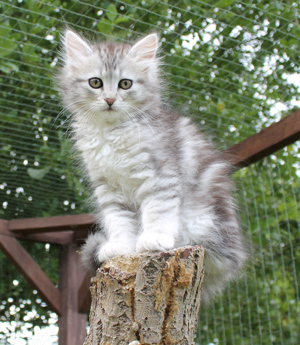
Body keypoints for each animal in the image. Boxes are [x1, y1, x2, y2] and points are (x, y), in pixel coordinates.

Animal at [58, 30, 246, 302]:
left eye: (125, 84)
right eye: (95, 82)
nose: (110, 99)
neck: (112, 132)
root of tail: (235, 256)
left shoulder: (160, 175)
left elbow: (158, 210)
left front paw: (153, 238)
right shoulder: (109, 188)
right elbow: (119, 220)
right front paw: (121, 246)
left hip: (204, 222)